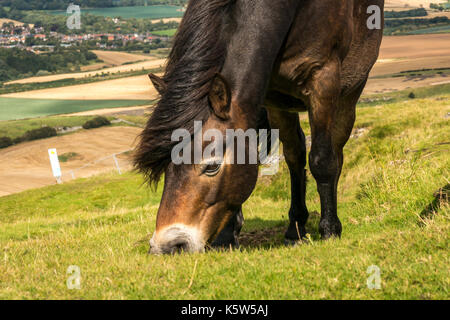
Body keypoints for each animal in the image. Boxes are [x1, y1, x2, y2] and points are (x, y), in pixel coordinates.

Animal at [134, 0, 384, 255]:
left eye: (212, 166)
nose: (167, 246)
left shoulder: (323, 81)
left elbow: (322, 160)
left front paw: (330, 229)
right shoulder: (266, 96)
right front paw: (227, 237)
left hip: (350, 92)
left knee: (335, 151)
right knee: (294, 154)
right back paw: (295, 228)